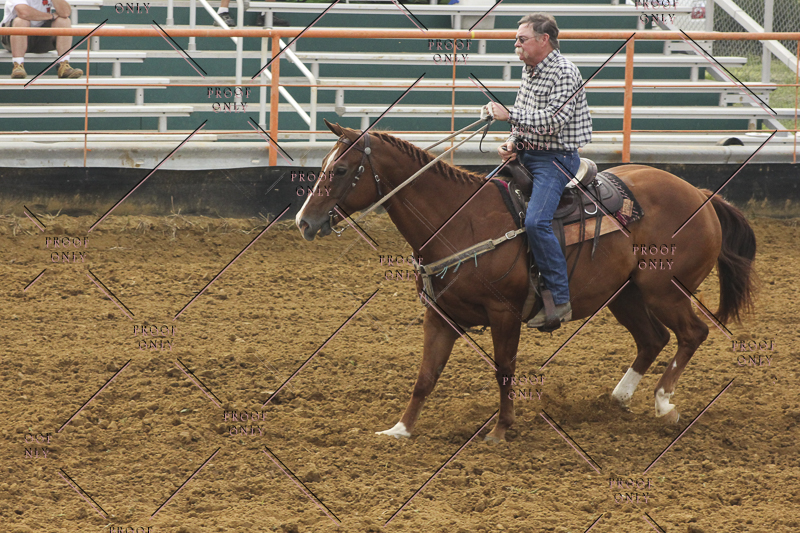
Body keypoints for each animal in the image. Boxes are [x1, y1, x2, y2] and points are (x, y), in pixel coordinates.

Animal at [295, 120, 757, 442]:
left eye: (339, 170)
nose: (303, 222)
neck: (460, 221)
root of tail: (702, 195)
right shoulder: (440, 316)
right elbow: (426, 375)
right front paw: (400, 430)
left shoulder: (504, 313)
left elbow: (504, 370)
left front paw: (500, 430)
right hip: (623, 294)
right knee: (652, 338)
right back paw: (621, 397)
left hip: (664, 290)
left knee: (691, 333)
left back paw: (664, 404)